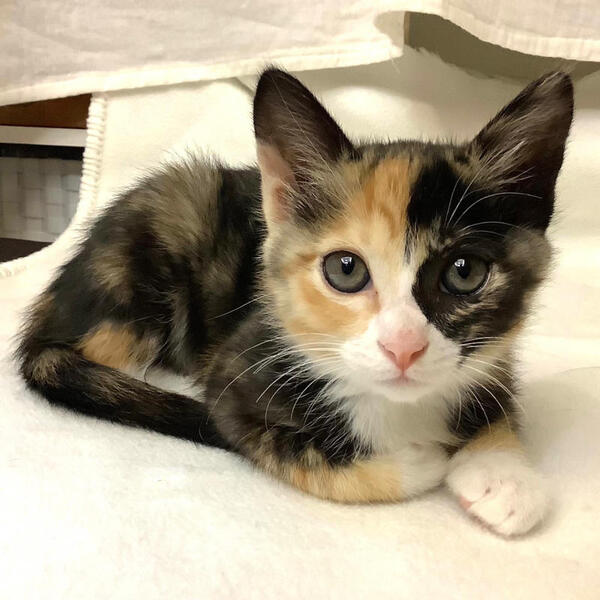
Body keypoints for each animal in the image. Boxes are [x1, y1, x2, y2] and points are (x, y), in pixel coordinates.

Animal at [17, 68, 573, 536]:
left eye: (465, 272)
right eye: (346, 270)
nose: (403, 347)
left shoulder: (492, 355)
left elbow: (497, 400)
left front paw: (504, 474)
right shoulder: (236, 378)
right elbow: (287, 451)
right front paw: (418, 462)